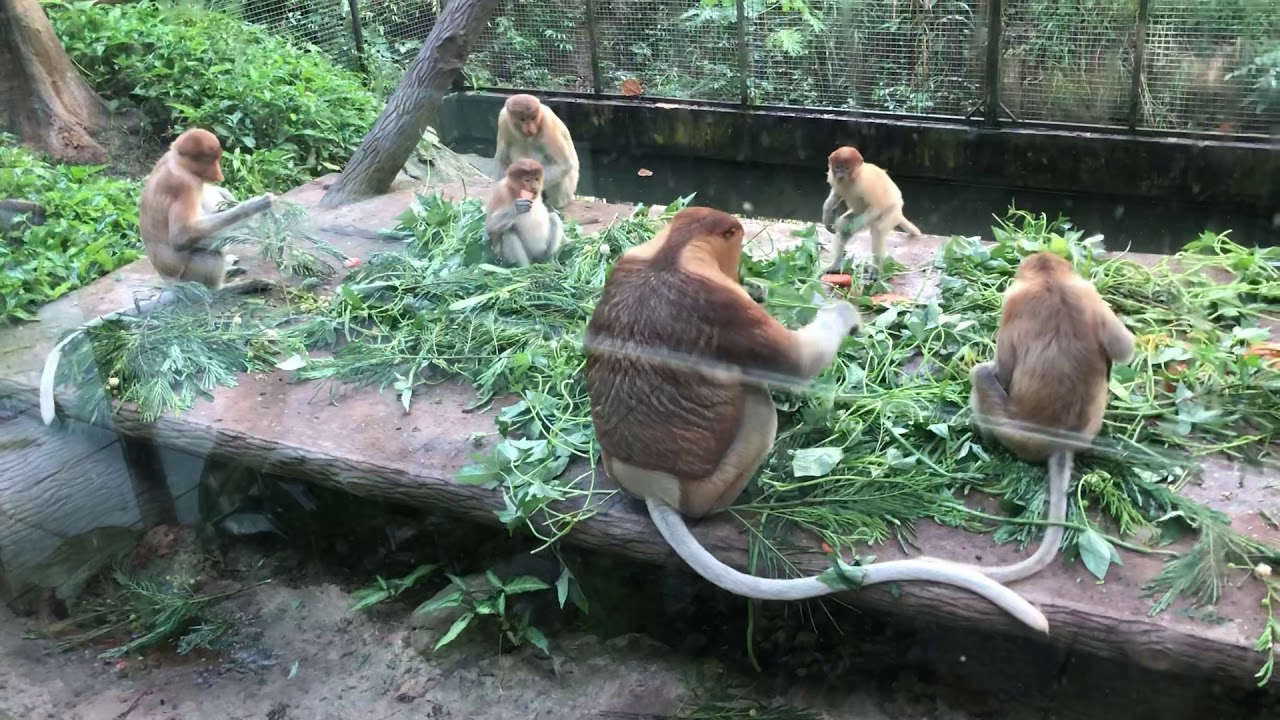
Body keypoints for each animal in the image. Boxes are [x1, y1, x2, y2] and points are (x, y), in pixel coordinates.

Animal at [39, 129, 276, 426]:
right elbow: (182, 236)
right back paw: (231, 286)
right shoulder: (183, 184)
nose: (219, 175)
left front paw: (230, 194)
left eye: (218, 159)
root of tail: (173, 287)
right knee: (204, 253)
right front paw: (258, 204)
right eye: (208, 160)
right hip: (191, 274)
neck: (177, 162)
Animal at [583, 206, 1049, 634]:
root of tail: (654, 485)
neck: (673, 251)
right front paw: (843, 314)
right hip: (722, 473)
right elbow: (796, 363)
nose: (742, 268)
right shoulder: (723, 307)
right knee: (760, 407)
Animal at [821, 146, 922, 279]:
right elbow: (836, 195)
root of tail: (899, 211)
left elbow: (876, 207)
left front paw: (850, 227)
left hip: (891, 212)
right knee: (844, 226)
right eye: (837, 167)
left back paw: (875, 270)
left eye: (847, 168)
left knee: (878, 229)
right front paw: (827, 216)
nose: (841, 175)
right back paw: (834, 266)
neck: (856, 176)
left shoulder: (866, 184)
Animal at [968, 251, 1136, 583]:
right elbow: (1125, 348)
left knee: (981, 375)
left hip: (1011, 429)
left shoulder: (1013, 302)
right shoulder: (1089, 292)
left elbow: (1002, 370)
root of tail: (1060, 442)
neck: (1050, 280)